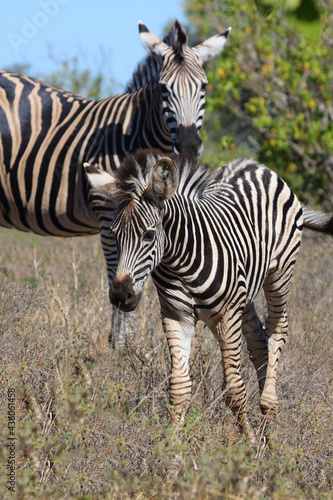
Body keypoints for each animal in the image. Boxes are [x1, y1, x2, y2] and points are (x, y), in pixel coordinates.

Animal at [0, 21, 231, 324]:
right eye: (164, 88)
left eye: (203, 86)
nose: (189, 145)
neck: (135, 136)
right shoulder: (110, 216)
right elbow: (121, 284)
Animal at [84, 148, 332, 442]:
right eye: (114, 234)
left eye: (148, 235)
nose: (121, 296)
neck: (180, 259)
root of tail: (255, 165)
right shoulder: (176, 315)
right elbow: (179, 387)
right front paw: (172, 449)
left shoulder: (226, 316)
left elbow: (234, 389)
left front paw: (249, 446)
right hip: (244, 295)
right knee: (259, 343)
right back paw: (268, 435)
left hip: (280, 272)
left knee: (277, 328)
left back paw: (269, 409)